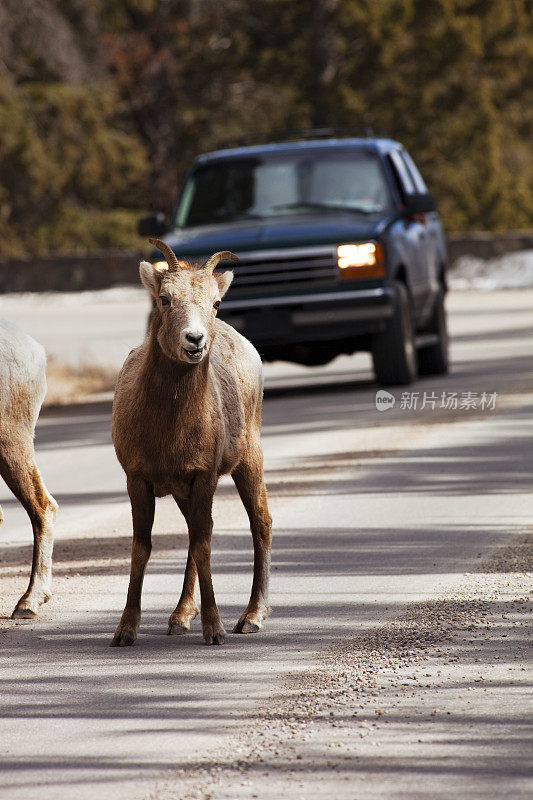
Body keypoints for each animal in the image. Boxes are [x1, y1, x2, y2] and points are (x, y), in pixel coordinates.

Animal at [110, 241, 272, 648]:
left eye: (215, 302)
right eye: (165, 299)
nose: (194, 340)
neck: (168, 430)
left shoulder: (204, 477)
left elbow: (203, 545)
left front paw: (214, 630)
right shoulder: (139, 480)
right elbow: (143, 548)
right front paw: (124, 631)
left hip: (248, 460)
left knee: (259, 522)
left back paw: (251, 617)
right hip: (183, 491)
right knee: (194, 535)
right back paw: (180, 617)